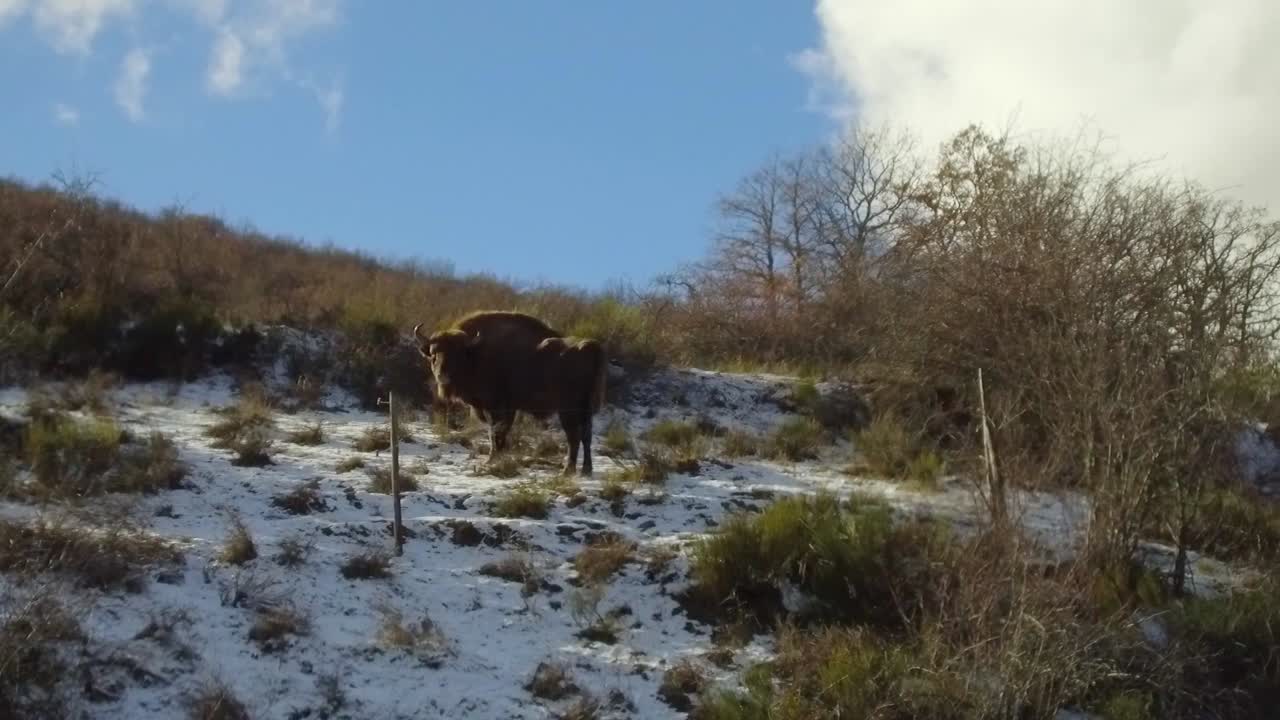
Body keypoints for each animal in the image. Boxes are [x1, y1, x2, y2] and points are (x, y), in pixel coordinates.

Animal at [414, 311, 608, 476]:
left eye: (458, 353)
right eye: (433, 353)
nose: (442, 376)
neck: (476, 353)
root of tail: (591, 347)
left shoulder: (495, 407)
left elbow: (495, 432)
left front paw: (491, 460)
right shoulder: (507, 408)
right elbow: (500, 432)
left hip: (568, 410)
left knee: (573, 437)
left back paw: (568, 471)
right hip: (586, 410)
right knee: (586, 436)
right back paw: (586, 471)